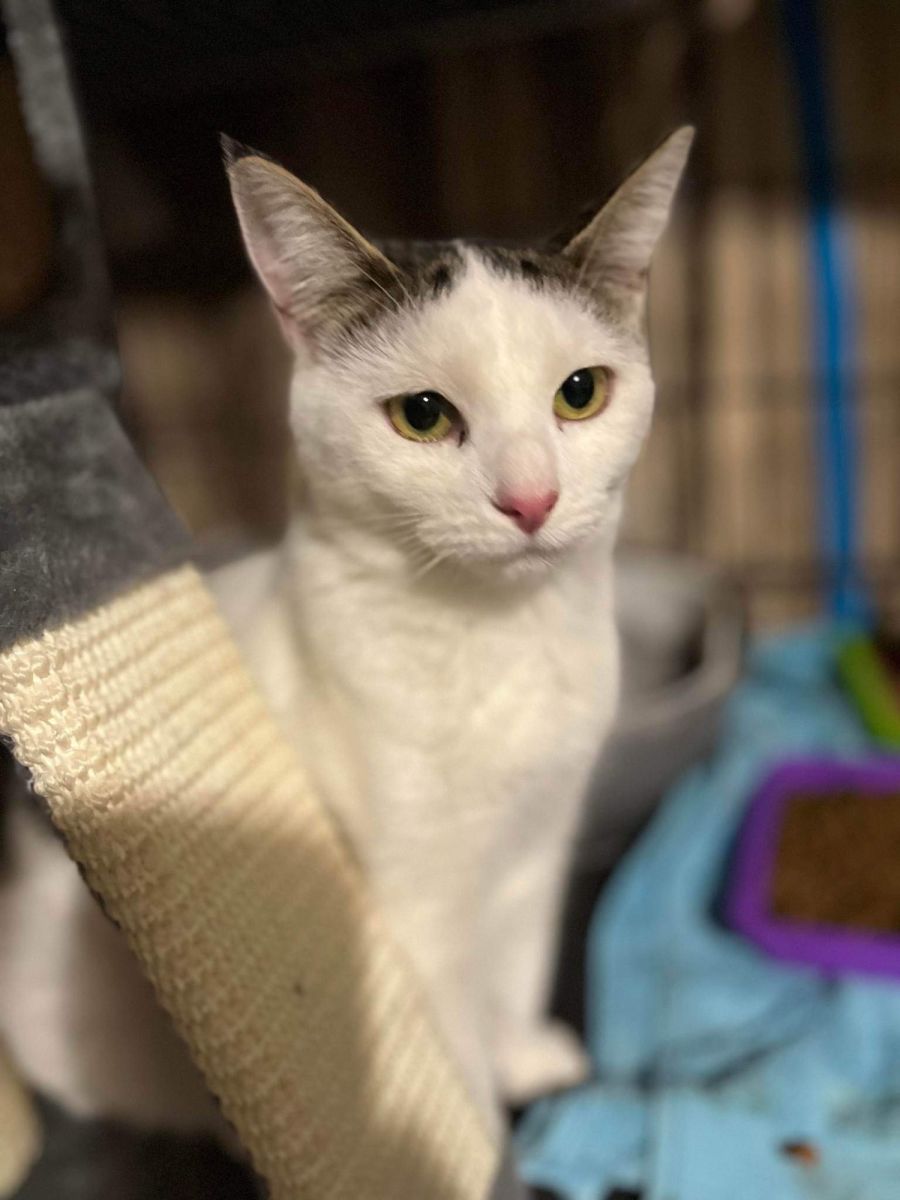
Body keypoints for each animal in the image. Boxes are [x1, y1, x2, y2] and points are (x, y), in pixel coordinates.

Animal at [209, 127, 693, 1129]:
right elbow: (450, 1029)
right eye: (422, 414)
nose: (531, 499)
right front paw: (468, 1134)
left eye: (580, 393)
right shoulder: (414, 897)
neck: (497, 638)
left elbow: (513, 971)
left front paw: (522, 1057)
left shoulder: (538, 844)